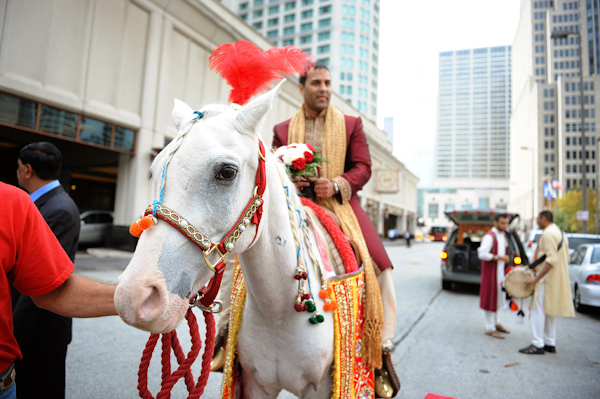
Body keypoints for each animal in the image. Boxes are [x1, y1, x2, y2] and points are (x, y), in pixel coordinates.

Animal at [113, 83, 340, 398]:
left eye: (227, 172)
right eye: (155, 170)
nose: (134, 296)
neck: (278, 313)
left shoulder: (320, 388)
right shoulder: (257, 384)